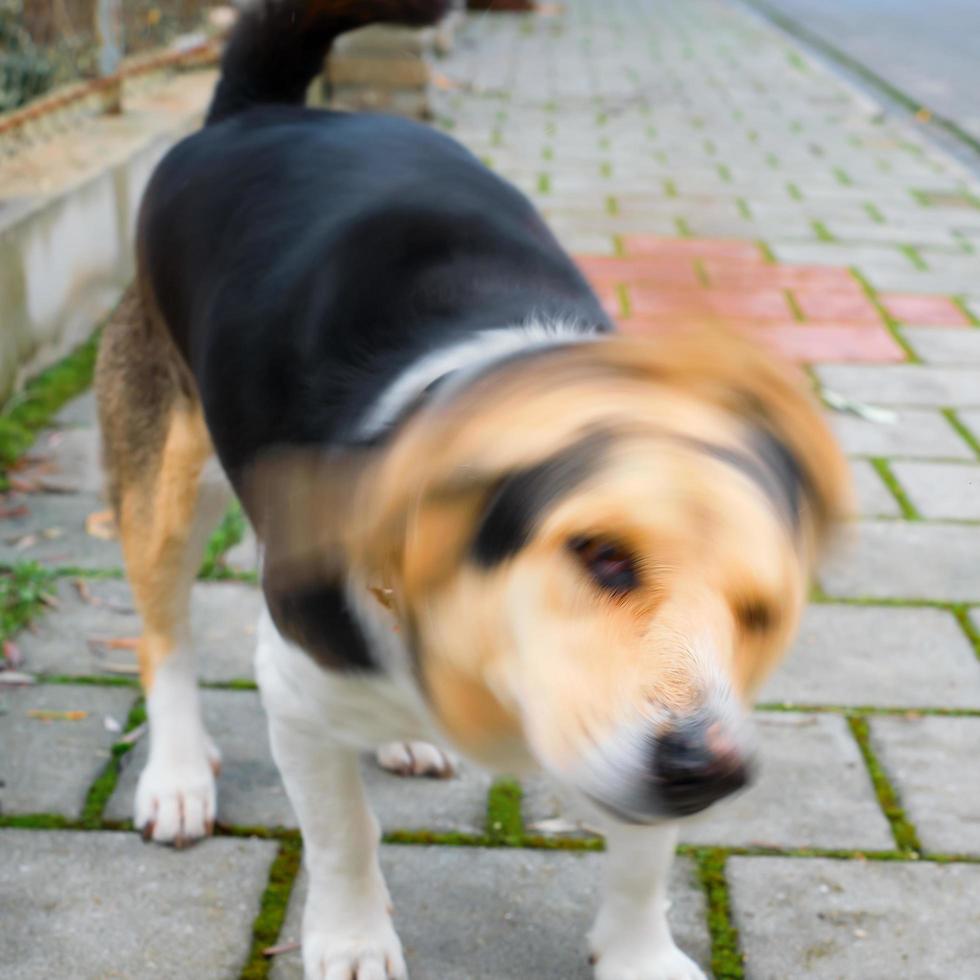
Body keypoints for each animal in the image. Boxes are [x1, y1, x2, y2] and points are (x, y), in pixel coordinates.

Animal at [95, 3, 852, 976]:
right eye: (601, 556)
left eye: (762, 613)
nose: (707, 770)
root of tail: (254, 113)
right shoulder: (294, 686)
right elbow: (342, 834)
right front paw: (351, 938)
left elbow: (643, 858)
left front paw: (639, 953)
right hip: (167, 483)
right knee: (166, 638)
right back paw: (180, 773)